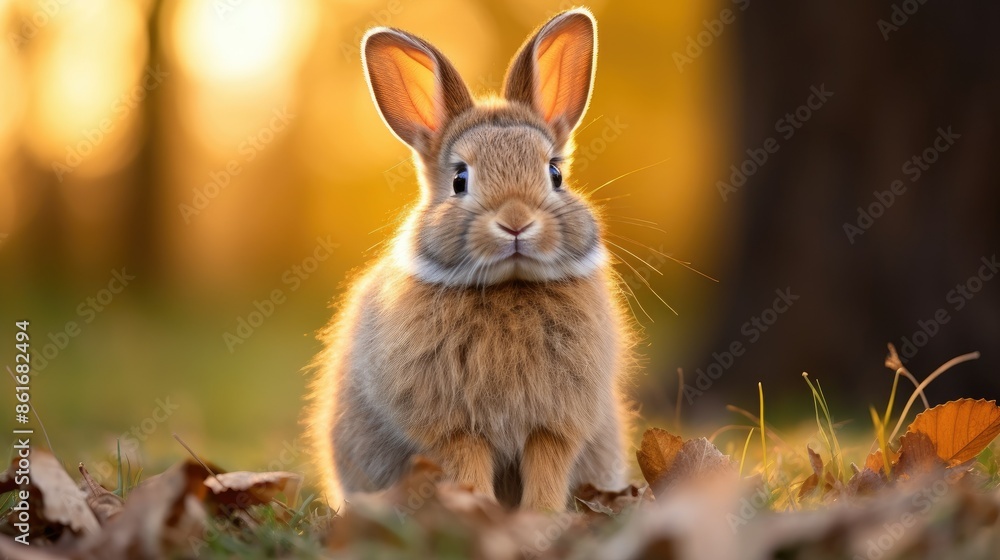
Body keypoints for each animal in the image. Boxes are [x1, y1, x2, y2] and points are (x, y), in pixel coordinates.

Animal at [307, 7, 636, 513]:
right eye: (460, 179)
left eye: (555, 173)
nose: (516, 222)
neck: (509, 286)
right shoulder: (455, 428)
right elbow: (467, 466)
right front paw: (477, 513)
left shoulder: (555, 424)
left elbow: (547, 467)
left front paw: (541, 518)